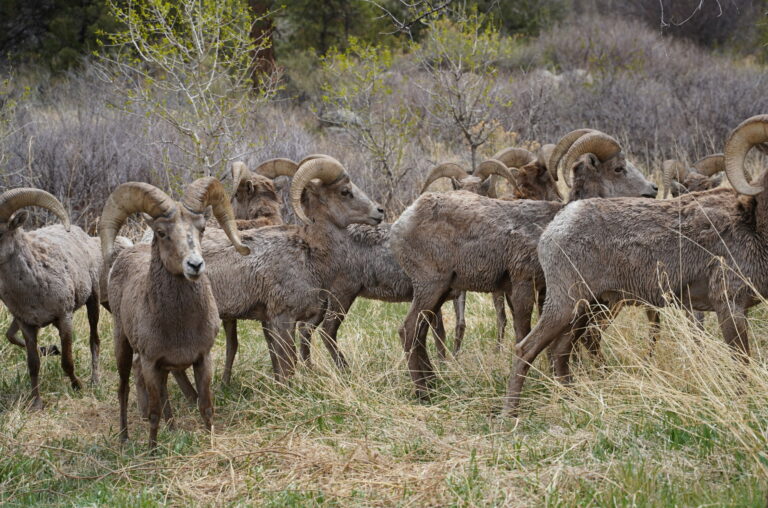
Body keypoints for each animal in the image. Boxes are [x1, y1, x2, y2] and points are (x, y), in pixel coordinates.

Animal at [0, 189, 102, 410]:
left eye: (0, 232)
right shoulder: (27, 324)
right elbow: (33, 364)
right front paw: (36, 403)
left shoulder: (65, 318)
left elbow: (67, 361)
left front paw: (77, 386)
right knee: (10, 336)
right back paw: (51, 349)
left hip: (93, 300)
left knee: (94, 339)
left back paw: (94, 380)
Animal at [100, 177, 249, 446]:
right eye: (162, 233)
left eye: (201, 228)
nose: (195, 265)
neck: (181, 326)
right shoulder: (150, 363)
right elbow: (154, 413)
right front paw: (152, 449)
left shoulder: (202, 359)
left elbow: (206, 407)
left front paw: (210, 443)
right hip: (122, 346)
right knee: (123, 390)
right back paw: (124, 438)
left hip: (162, 367)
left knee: (164, 392)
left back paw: (172, 428)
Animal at [392, 130, 656, 400]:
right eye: (618, 168)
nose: (652, 191)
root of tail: (402, 222)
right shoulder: (522, 285)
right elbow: (524, 333)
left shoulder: (545, 291)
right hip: (431, 288)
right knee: (408, 331)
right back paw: (423, 393)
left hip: (440, 293)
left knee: (420, 334)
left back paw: (433, 384)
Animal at [504, 115, 768, 416]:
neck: (753, 226)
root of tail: (556, 226)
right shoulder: (729, 307)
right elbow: (741, 362)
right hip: (564, 306)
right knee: (526, 349)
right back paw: (510, 414)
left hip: (584, 310)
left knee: (561, 351)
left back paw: (572, 401)